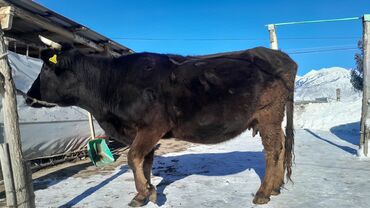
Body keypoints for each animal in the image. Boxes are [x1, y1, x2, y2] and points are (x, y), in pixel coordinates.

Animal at [26, 45, 298, 206]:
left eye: (45, 68)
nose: (28, 96)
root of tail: (280, 56)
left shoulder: (152, 126)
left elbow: (133, 157)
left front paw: (146, 193)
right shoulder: (138, 131)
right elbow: (144, 160)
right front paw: (144, 192)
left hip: (268, 114)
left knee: (272, 151)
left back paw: (262, 193)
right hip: (272, 119)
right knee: (281, 147)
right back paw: (275, 188)